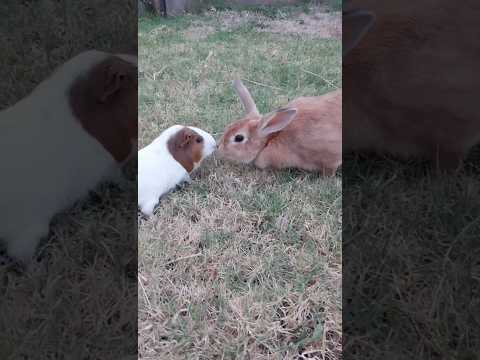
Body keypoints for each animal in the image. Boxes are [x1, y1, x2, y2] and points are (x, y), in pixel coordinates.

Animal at [216, 79, 344, 176]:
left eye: (239, 138)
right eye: (228, 126)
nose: (218, 147)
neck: (270, 139)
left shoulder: (330, 156)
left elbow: (329, 170)